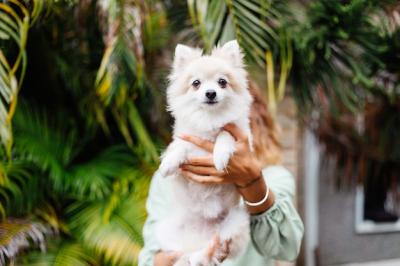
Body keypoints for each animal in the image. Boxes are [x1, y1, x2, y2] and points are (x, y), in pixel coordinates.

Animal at [157, 40, 253, 266]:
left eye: (222, 82)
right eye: (196, 83)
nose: (210, 93)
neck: (210, 119)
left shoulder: (240, 135)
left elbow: (225, 134)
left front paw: (220, 156)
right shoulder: (186, 140)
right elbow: (180, 146)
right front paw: (168, 164)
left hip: (235, 222)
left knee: (213, 249)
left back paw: (201, 254)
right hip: (167, 230)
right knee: (182, 253)